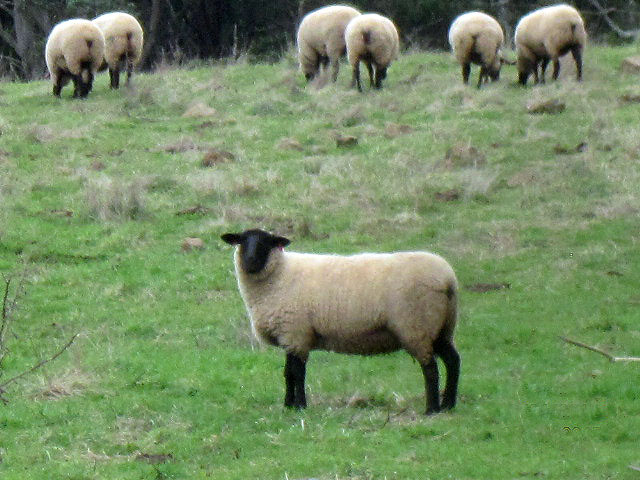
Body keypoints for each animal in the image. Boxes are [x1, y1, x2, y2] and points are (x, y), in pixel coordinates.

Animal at [221, 228, 460, 415]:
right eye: (242, 241)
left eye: (265, 243)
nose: (250, 261)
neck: (279, 275)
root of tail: (448, 279)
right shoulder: (290, 335)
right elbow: (288, 373)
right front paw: (288, 405)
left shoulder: (296, 332)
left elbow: (297, 373)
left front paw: (300, 406)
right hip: (441, 327)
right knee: (453, 360)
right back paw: (448, 404)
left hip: (416, 325)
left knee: (430, 368)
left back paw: (432, 409)